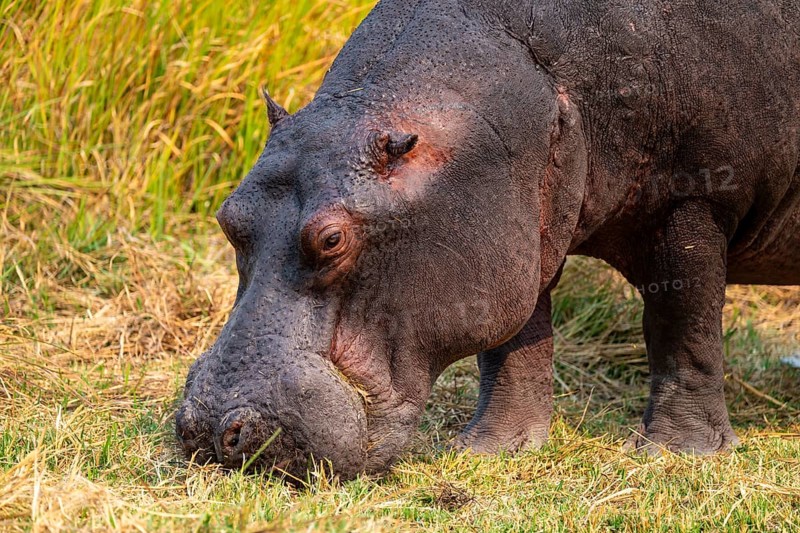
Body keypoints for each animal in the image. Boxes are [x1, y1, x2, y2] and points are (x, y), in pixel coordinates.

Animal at [176, 0, 800, 480]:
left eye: (331, 239)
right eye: (229, 217)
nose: (209, 428)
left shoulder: (696, 197)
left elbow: (682, 323)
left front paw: (677, 453)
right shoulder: (514, 235)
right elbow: (514, 343)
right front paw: (494, 450)